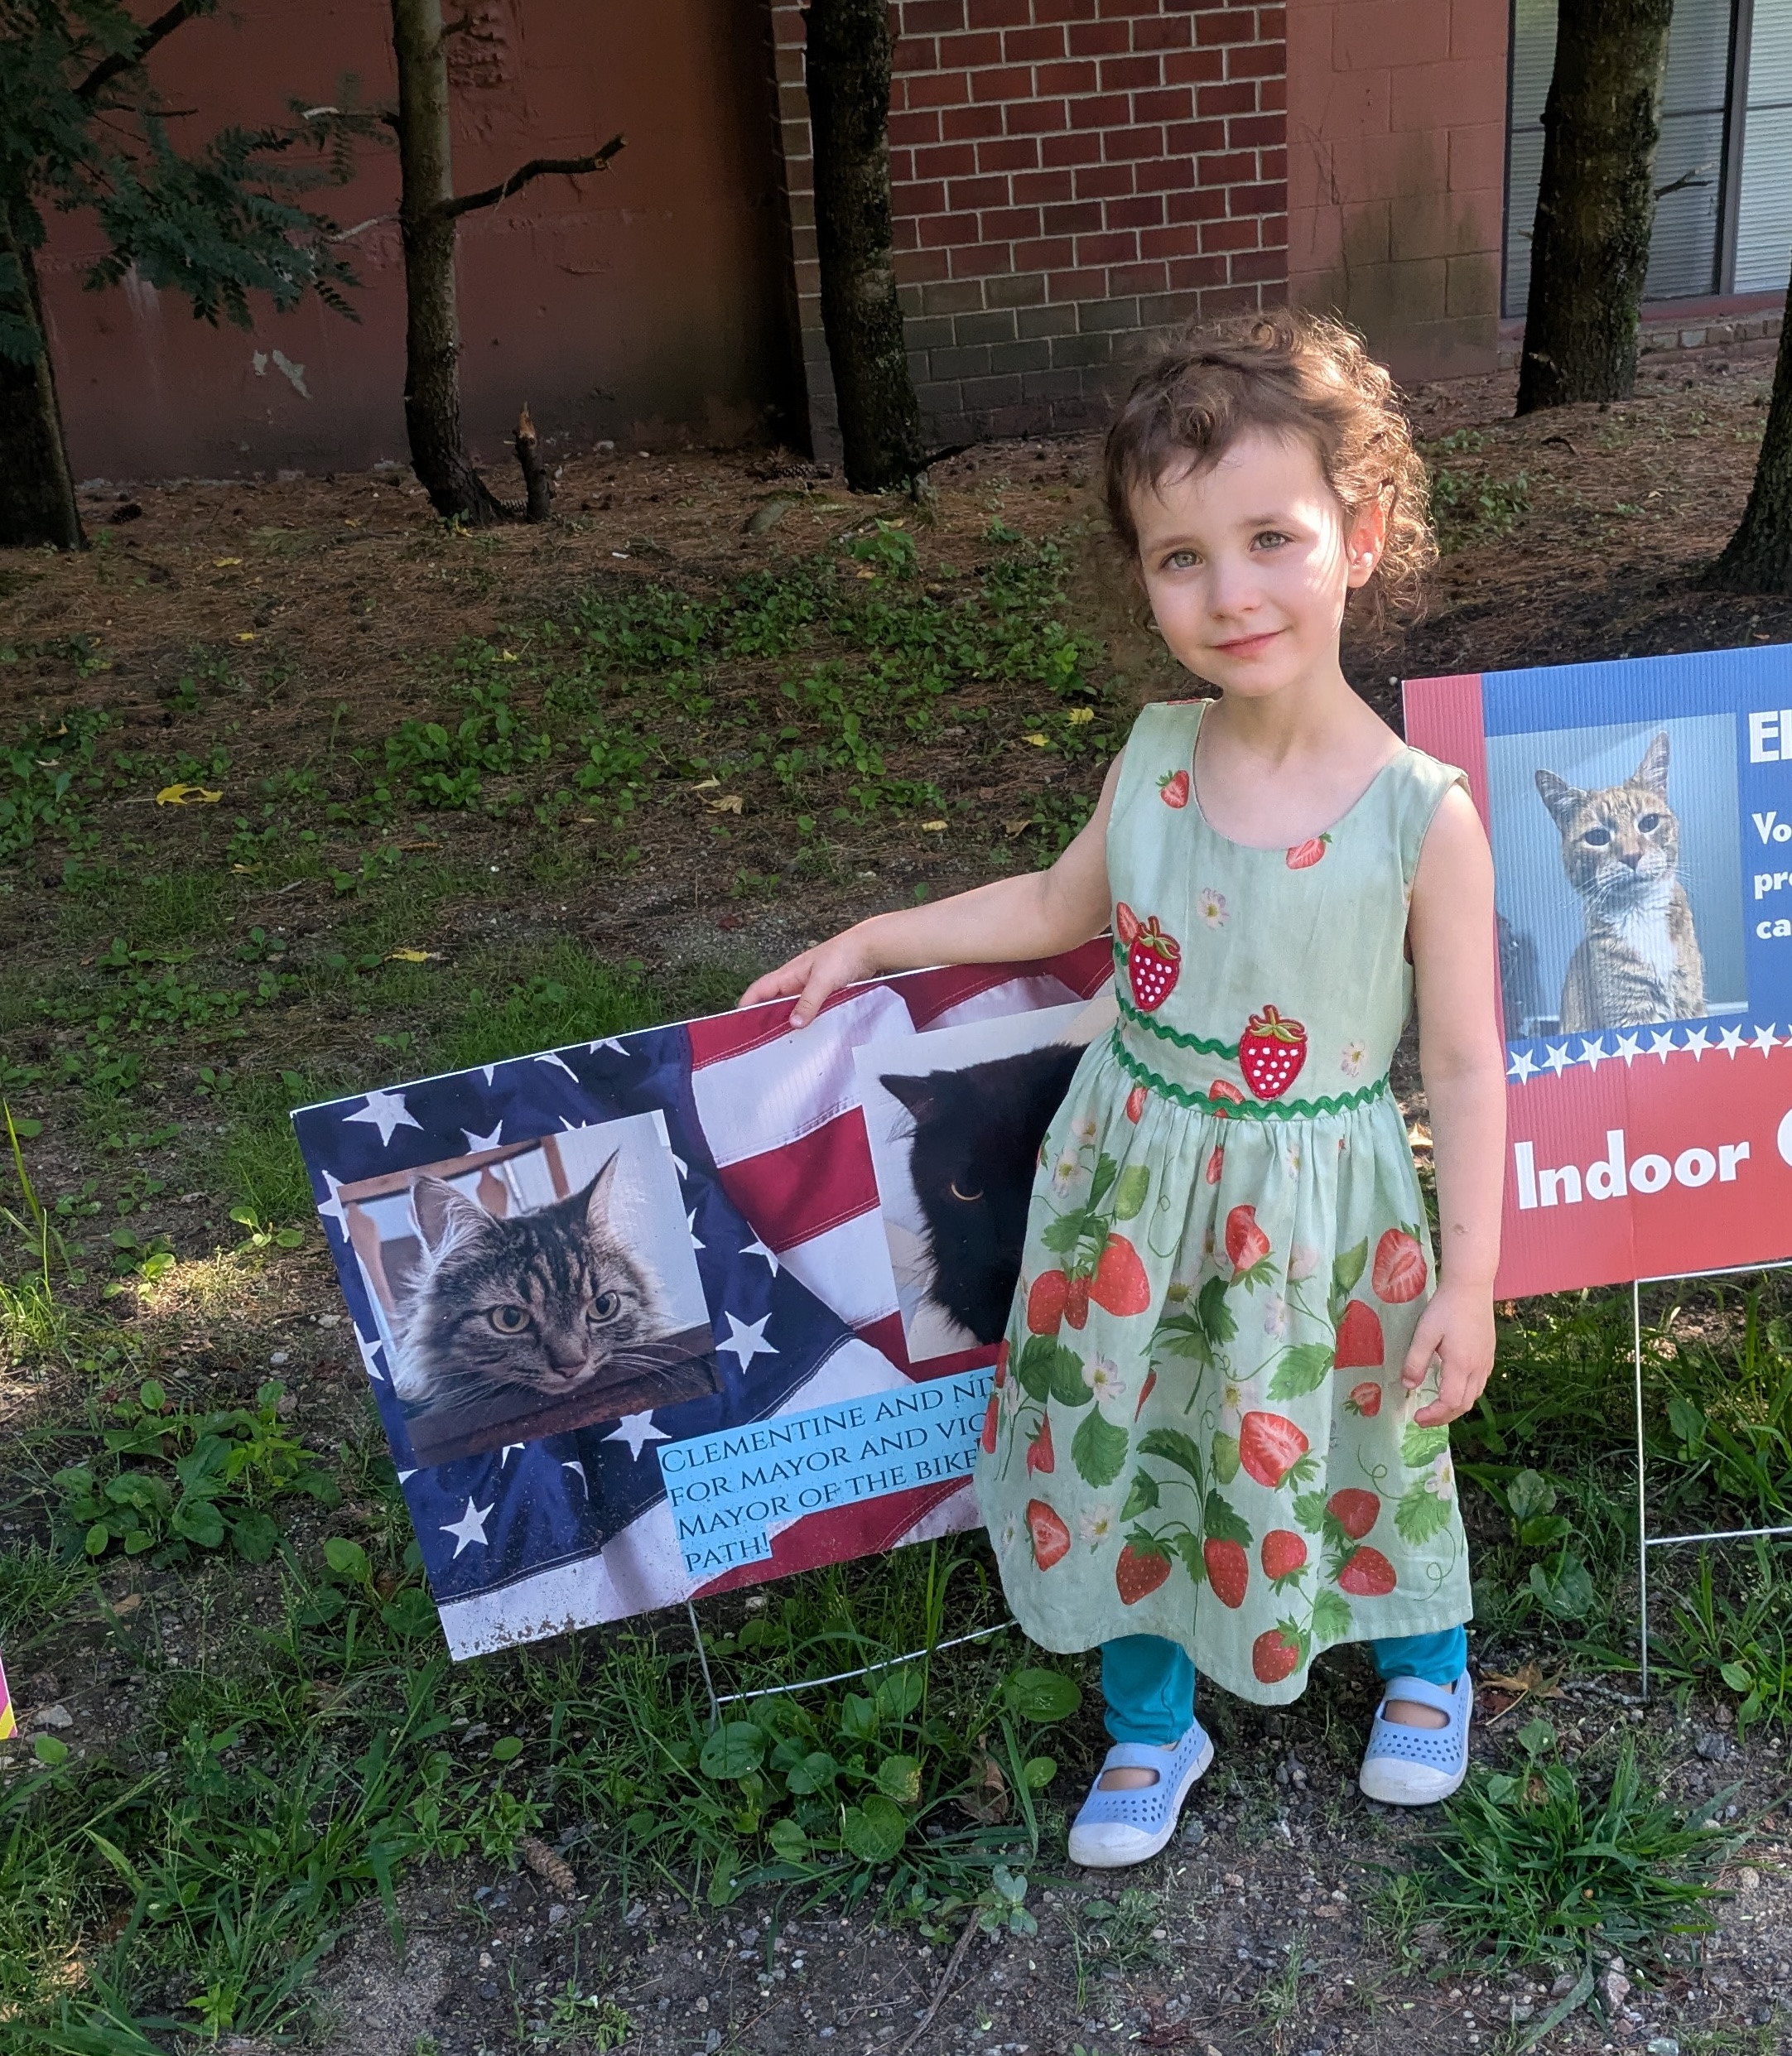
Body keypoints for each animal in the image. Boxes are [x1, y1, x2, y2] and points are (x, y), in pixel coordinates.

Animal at [1535, 731, 1706, 1032]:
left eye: (1649, 822)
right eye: (1598, 837)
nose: (1631, 856)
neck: (1641, 913)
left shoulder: (1691, 1003)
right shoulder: (1630, 1014)